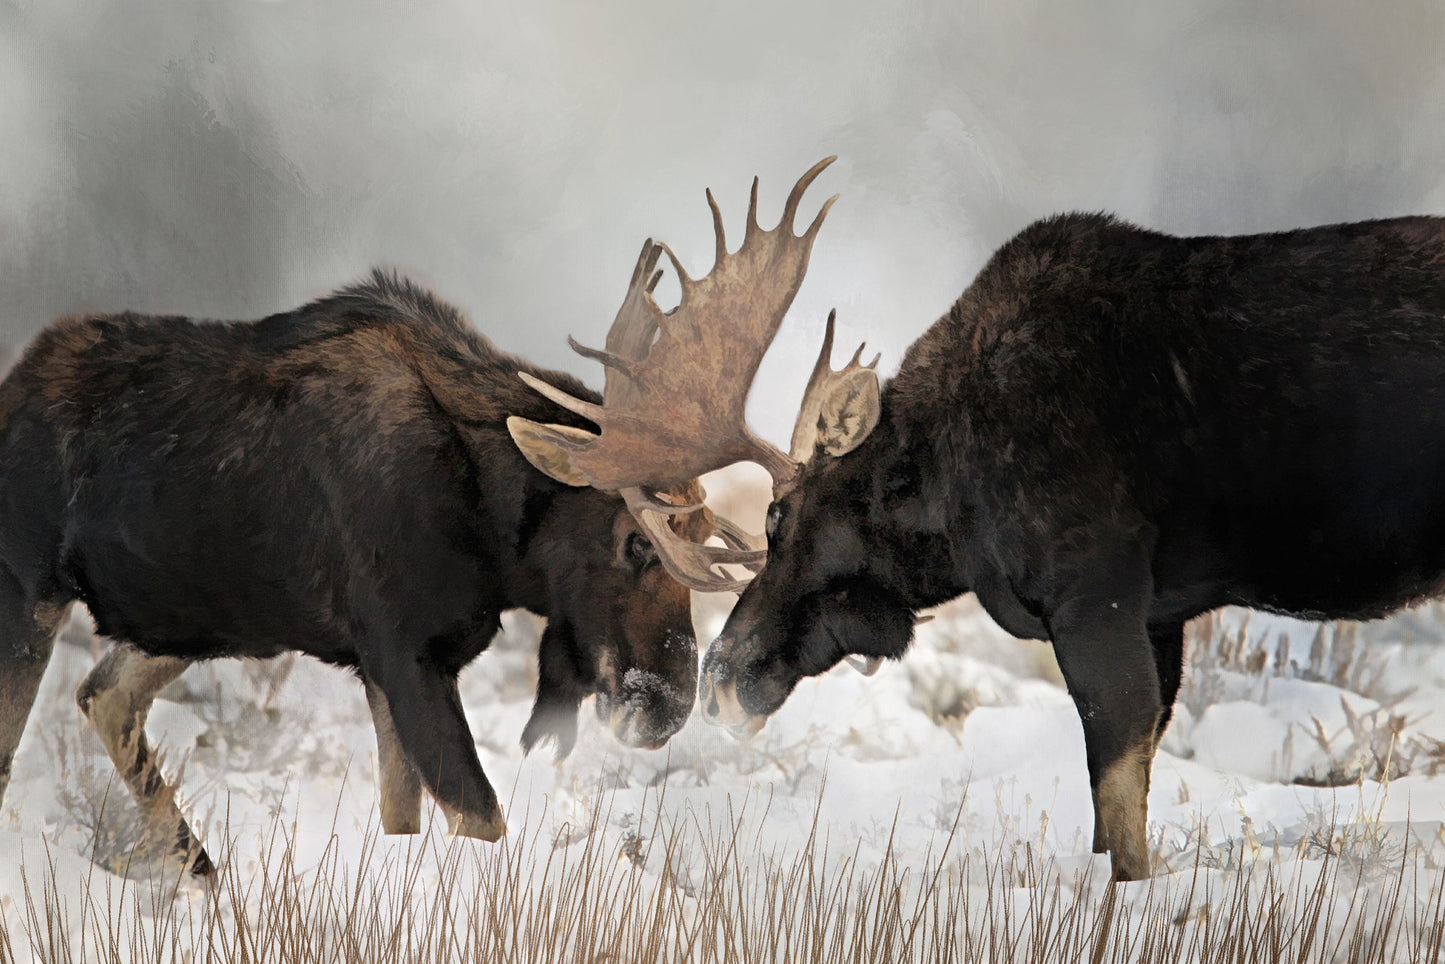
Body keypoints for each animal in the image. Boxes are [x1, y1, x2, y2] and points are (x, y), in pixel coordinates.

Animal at [0, 269, 746, 875]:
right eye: (637, 539)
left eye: (703, 531)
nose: (670, 705)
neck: (489, 525)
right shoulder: (403, 653)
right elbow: (481, 819)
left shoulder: (392, 667)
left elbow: (404, 817)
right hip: (31, 594)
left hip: (195, 620)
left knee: (104, 694)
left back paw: (204, 876)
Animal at [516, 158, 1445, 882]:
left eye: (780, 516)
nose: (718, 677)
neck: (952, 501)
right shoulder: (1164, 615)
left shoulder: (1097, 597)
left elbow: (1120, 808)